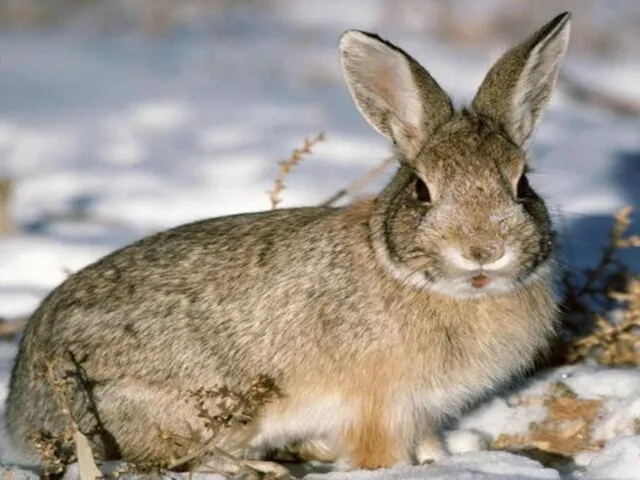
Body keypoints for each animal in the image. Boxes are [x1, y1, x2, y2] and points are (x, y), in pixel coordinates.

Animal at [2, 10, 572, 472]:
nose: (483, 251)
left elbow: (429, 443)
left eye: (522, 185)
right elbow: (381, 454)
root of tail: (22, 410)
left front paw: (445, 461)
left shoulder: (423, 410)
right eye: (421, 190)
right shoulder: (379, 407)